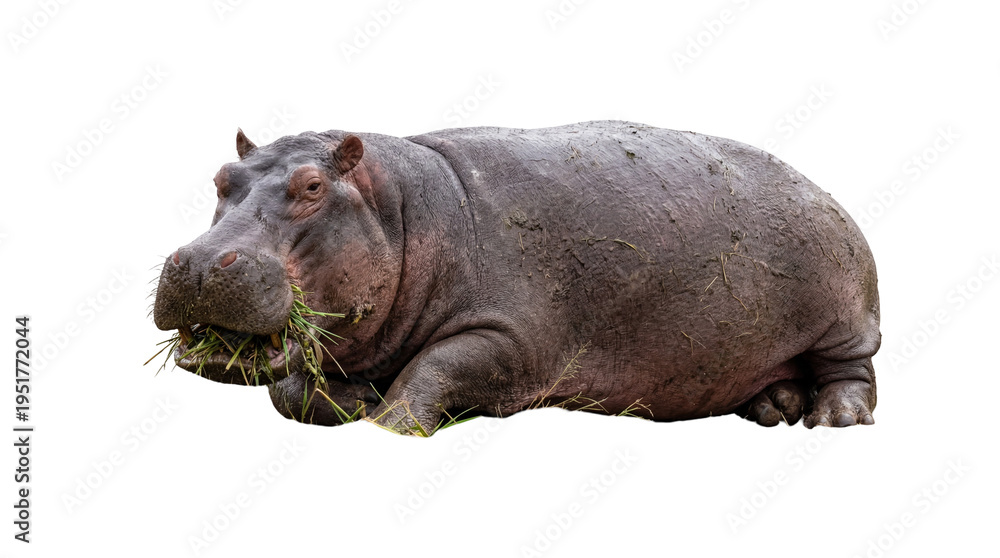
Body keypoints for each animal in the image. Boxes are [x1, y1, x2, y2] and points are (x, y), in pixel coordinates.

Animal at [152, 120, 880, 434]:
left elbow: (437, 368)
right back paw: (774, 407)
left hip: (843, 316)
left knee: (854, 372)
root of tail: (823, 189)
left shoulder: (514, 337)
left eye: (310, 187)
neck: (401, 208)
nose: (196, 262)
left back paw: (834, 419)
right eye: (220, 178)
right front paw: (351, 403)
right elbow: (292, 391)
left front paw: (388, 423)